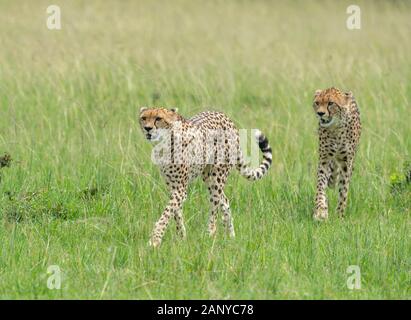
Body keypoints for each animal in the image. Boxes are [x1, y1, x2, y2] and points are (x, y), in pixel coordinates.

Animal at [139, 107, 274, 248]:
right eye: (144, 118)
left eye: (158, 118)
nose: (147, 128)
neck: (164, 143)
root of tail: (225, 117)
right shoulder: (172, 187)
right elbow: (175, 212)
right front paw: (182, 237)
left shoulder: (181, 189)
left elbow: (166, 213)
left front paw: (154, 240)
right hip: (208, 177)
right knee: (225, 201)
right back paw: (231, 236)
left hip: (217, 177)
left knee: (215, 207)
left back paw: (210, 234)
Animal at [314, 88, 362, 222]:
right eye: (317, 103)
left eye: (331, 103)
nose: (320, 113)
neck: (336, 128)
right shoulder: (324, 161)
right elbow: (320, 186)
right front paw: (321, 211)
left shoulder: (346, 163)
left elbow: (343, 191)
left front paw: (340, 216)